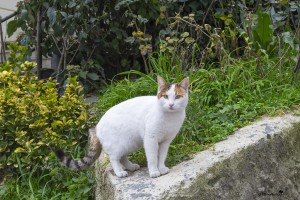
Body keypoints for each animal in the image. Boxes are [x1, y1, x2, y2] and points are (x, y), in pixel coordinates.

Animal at [55, 75, 189, 178]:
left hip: (130, 143)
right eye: (165, 96)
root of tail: (97, 126)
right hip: (119, 144)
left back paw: (131, 167)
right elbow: (152, 158)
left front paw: (161, 168)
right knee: (114, 158)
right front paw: (154, 171)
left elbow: (161, 157)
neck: (169, 118)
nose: (171, 105)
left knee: (123, 157)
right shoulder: (151, 139)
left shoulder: (166, 141)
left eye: (177, 97)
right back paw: (120, 172)